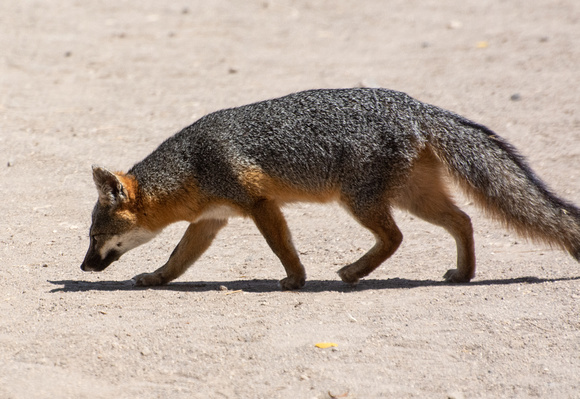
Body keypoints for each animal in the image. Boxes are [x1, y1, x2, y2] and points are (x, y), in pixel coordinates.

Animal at [78, 88, 580, 290]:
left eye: (95, 236)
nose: (83, 267)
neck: (193, 164)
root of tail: (416, 104)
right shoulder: (212, 220)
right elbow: (178, 259)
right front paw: (155, 278)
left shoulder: (259, 203)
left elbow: (282, 247)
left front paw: (295, 280)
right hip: (412, 196)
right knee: (463, 219)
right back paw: (463, 274)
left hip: (361, 200)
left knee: (396, 236)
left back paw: (354, 272)